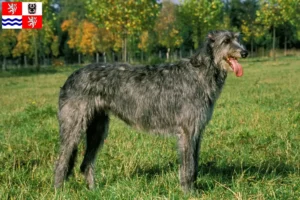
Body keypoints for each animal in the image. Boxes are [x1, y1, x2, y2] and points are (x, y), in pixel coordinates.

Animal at [54, 30, 248, 191]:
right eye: (226, 41)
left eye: (237, 39)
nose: (244, 52)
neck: (200, 73)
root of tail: (70, 78)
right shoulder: (187, 131)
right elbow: (188, 166)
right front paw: (189, 192)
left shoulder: (197, 132)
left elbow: (194, 164)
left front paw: (194, 189)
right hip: (74, 126)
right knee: (61, 162)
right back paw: (59, 191)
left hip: (98, 128)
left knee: (86, 163)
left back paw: (93, 191)